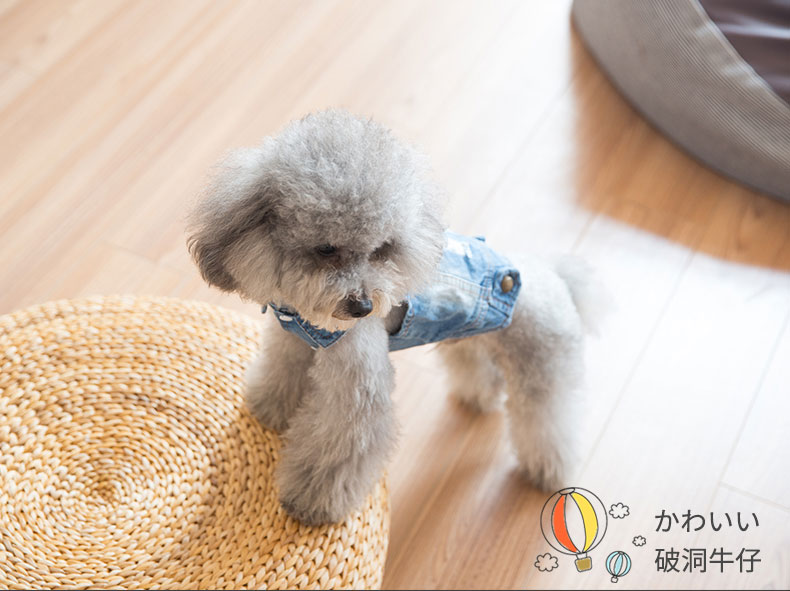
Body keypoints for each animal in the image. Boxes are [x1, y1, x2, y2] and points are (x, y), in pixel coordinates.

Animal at [186, 109, 607, 525]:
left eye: (381, 250)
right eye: (326, 249)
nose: (363, 307)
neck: (306, 317)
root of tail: (556, 278)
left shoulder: (358, 388)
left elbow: (338, 447)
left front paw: (310, 500)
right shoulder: (291, 341)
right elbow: (281, 373)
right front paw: (271, 408)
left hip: (543, 371)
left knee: (549, 423)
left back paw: (548, 470)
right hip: (468, 339)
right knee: (482, 372)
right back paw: (478, 397)